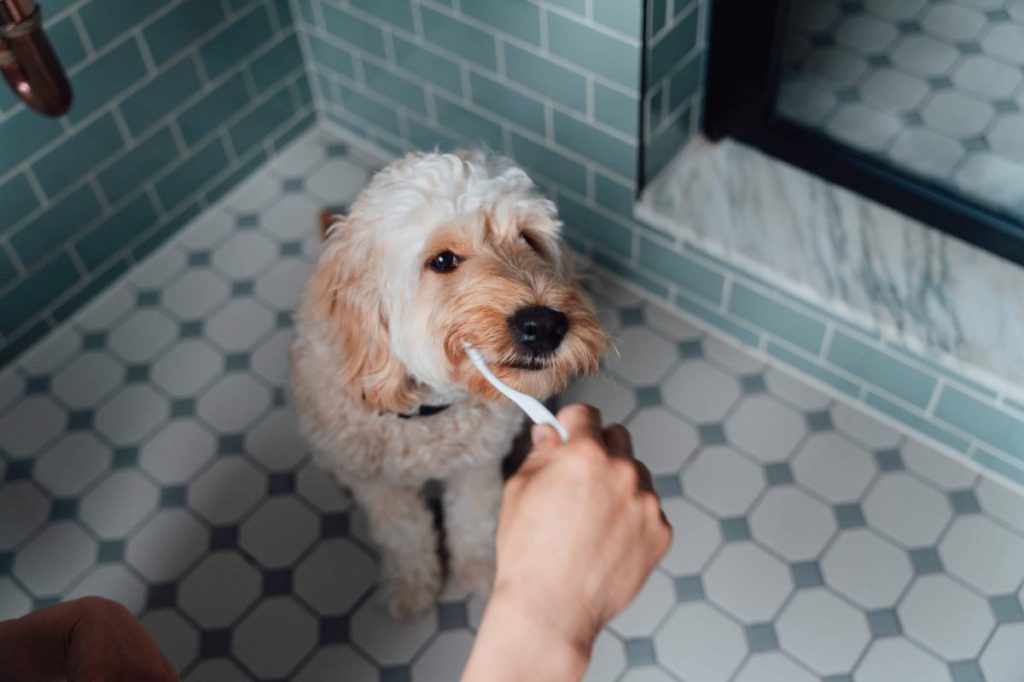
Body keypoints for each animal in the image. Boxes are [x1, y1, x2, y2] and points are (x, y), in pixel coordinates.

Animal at [292, 148, 602, 614]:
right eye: (442, 261)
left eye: (529, 239)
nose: (546, 325)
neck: (429, 414)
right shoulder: (380, 485)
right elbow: (403, 534)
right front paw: (413, 586)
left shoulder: (476, 465)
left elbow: (473, 521)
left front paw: (481, 573)